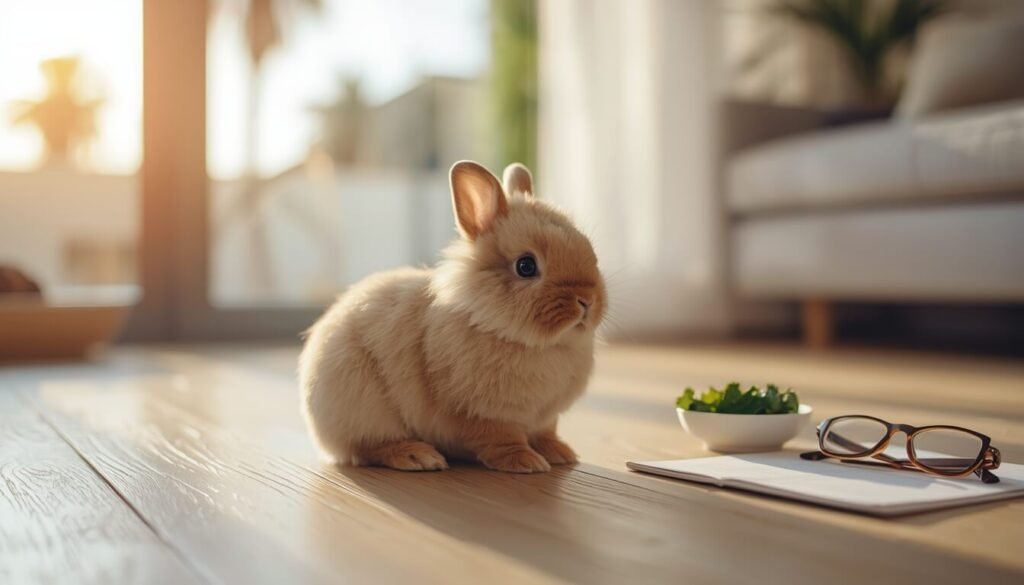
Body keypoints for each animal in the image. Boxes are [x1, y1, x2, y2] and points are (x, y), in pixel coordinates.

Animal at [299, 160, 606, 473]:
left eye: (590, 250)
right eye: (526, 266)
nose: (587, 301)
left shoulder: (545, 418)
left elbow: (545, 433)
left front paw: (560, 453)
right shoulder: (485, 414)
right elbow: (502, 439)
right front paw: (526, 462)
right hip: (366, 410)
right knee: (369, 447)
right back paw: (417, 456)